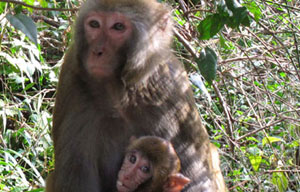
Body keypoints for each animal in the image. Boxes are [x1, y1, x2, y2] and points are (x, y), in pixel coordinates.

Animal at [46, 0, 225, 190]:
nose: (97, 52)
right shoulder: (72, 79)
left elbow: (197, 172)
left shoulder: (173, 83)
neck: (120, 92)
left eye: (118, 26)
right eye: (94, 24)